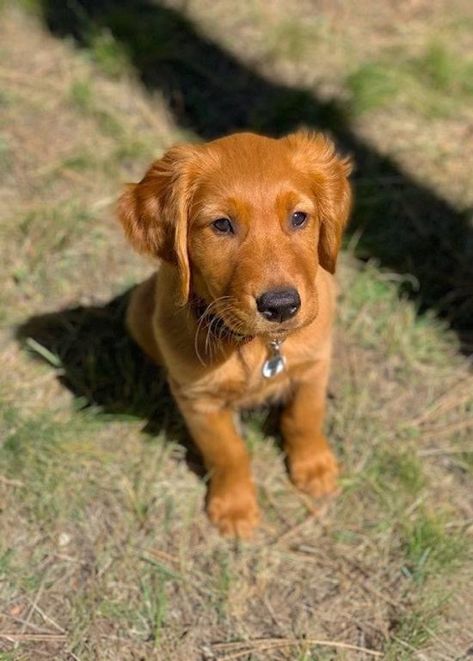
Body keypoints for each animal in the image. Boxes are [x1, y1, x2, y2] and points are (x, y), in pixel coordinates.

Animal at [118, 129, 350, 536]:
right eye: (222, 224)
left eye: (298, 217)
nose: (281, 306)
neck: (256, 345)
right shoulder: (198, 399)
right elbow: (228, 452)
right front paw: (235, 506)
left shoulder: (314, 365)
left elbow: (304, 417)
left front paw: (315, 467)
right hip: (137, 308)